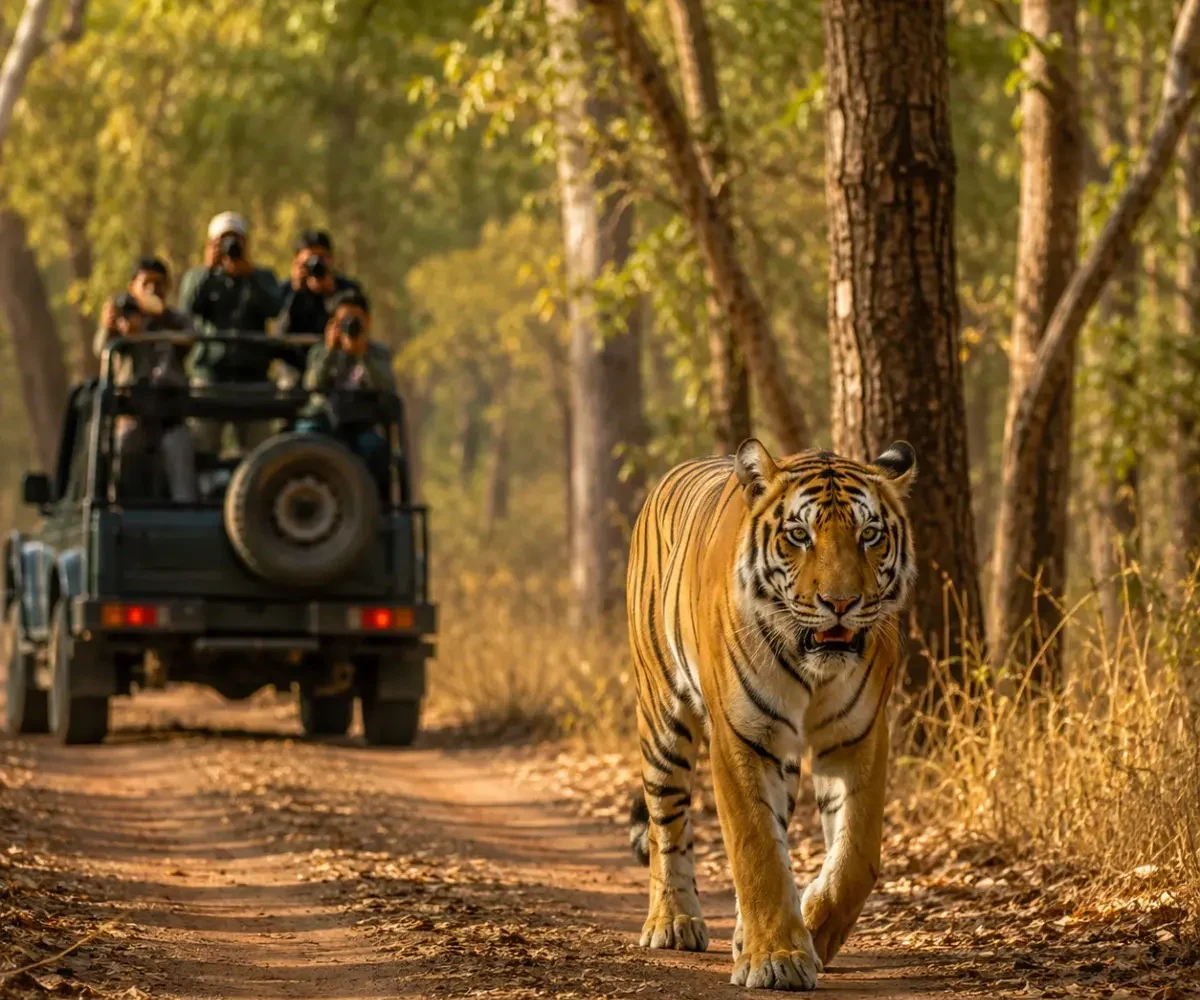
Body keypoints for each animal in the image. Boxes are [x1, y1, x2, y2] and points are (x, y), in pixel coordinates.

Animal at [625, 437, 916, 991]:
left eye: (869, 535)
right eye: (799, 535)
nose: (840, 603)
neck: (814, 668)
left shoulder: (859, 736)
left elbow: (856, 856)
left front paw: (814, 929)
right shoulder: (742, 736)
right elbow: (756, 848)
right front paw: (777, 958)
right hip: (662, 717)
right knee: (665, 823)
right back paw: (673, 922)